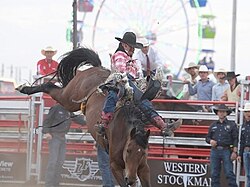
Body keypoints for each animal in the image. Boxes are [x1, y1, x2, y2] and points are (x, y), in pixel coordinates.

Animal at [17, 47, 152, 187]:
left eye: (143, 153)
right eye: (129, 150)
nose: (131, 179)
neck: (124, 132)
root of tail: (95, 68)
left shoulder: (144, 168)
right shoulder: (114, 166)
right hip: (69, 97)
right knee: (49, 87)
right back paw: (24, 88)